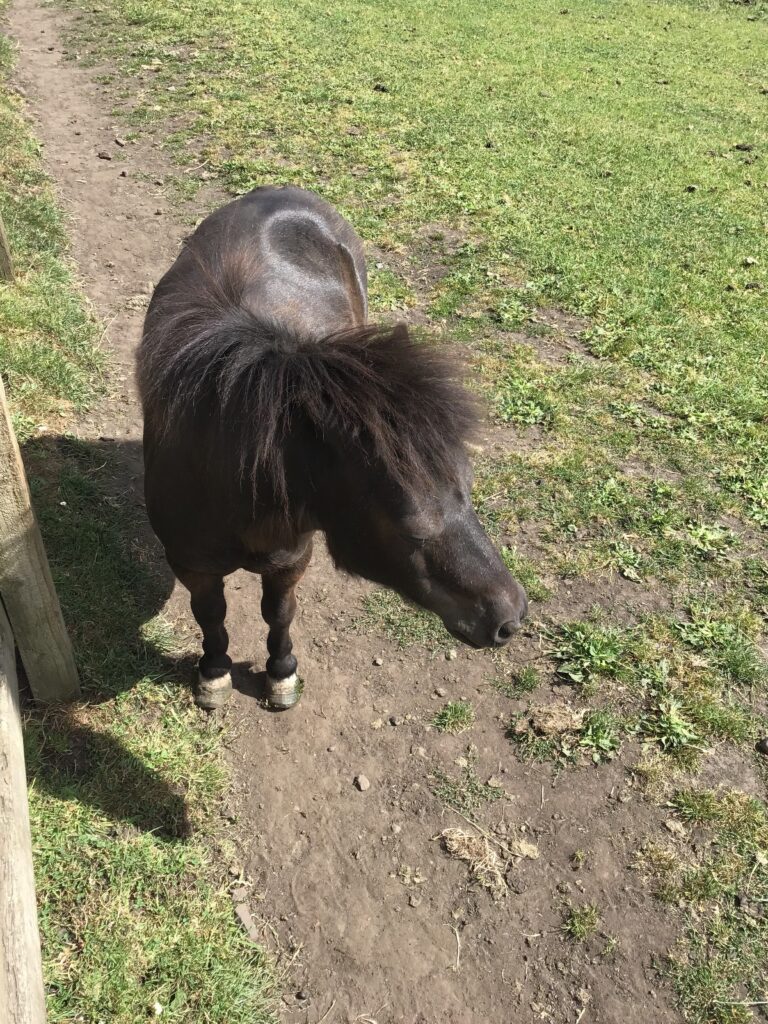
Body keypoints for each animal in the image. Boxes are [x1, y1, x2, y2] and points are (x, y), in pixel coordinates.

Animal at [137, 185, 528, 711]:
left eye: (468, 488)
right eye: (412, 527)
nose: (511, 616)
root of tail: (281, 190)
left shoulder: (289, 559)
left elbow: (278, 612)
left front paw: (281, 673)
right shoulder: (191, 564)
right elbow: (211, 614)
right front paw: (214, 671)